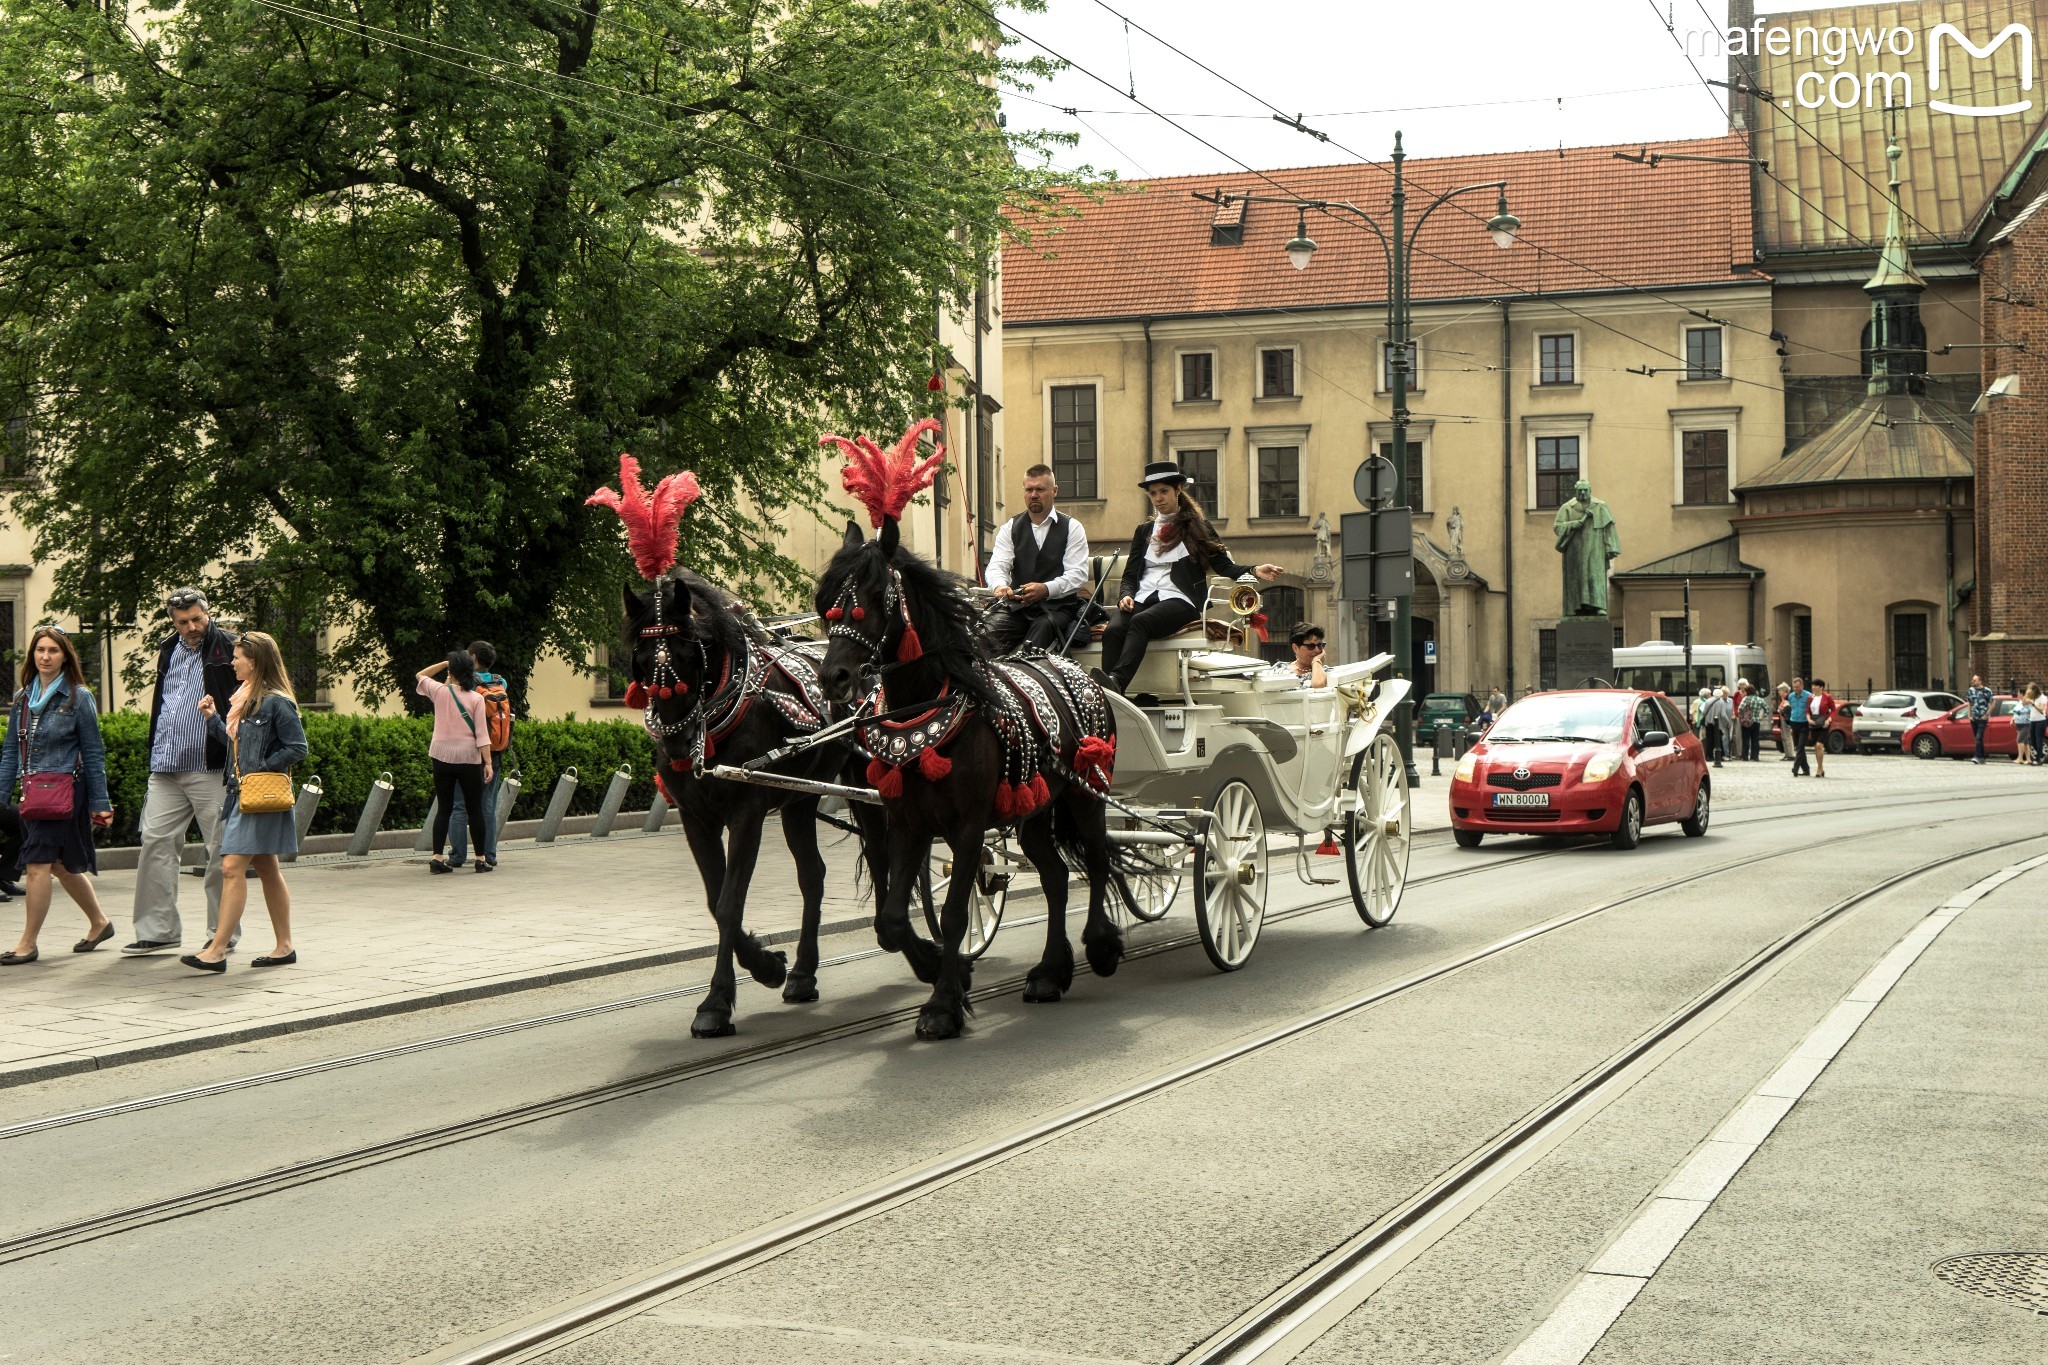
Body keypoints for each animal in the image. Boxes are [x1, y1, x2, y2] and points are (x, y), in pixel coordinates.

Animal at [614, 573, 888, 1035]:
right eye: (640, 658)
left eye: (691, 651)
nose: (677, 744)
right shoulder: (696, 818)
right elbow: (715, 900)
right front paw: (768, 966)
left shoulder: (747, 813)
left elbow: (729, 903)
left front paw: (716, 1002)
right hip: (799, 799)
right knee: (813, 875)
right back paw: (802, 974)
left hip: (869, 778)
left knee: (888, 852)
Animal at [811, 517, 1130, 1039]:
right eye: (826, 601)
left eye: (876, 596)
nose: (833, 677)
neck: (929, 705)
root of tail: (1077, 669)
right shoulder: (908, 822)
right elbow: (892, 919)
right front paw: (948, 970)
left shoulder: (968, 826)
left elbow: (955, 912)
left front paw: (942, 1006)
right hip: (1035, 811)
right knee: (1057, 876)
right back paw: (1050, 972)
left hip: (1088, 792)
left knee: (1099, 861)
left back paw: (1101, 946)